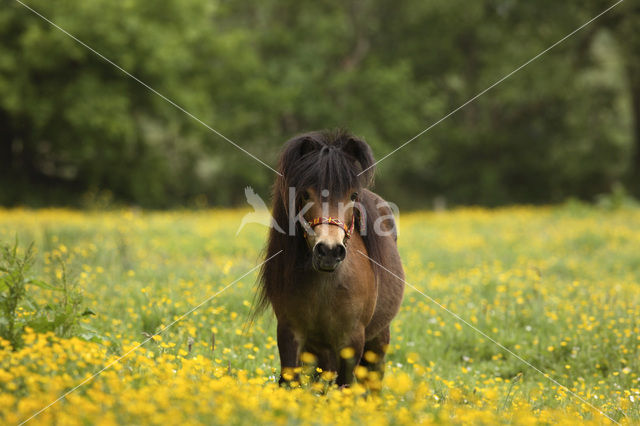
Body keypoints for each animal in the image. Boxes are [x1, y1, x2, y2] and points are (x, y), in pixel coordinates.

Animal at [256, 130, 402, 386]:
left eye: (353, 195)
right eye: (305, 194)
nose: (330, 251)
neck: (325, 285)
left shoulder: (352, 340)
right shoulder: (289, 332)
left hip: (378, 340)